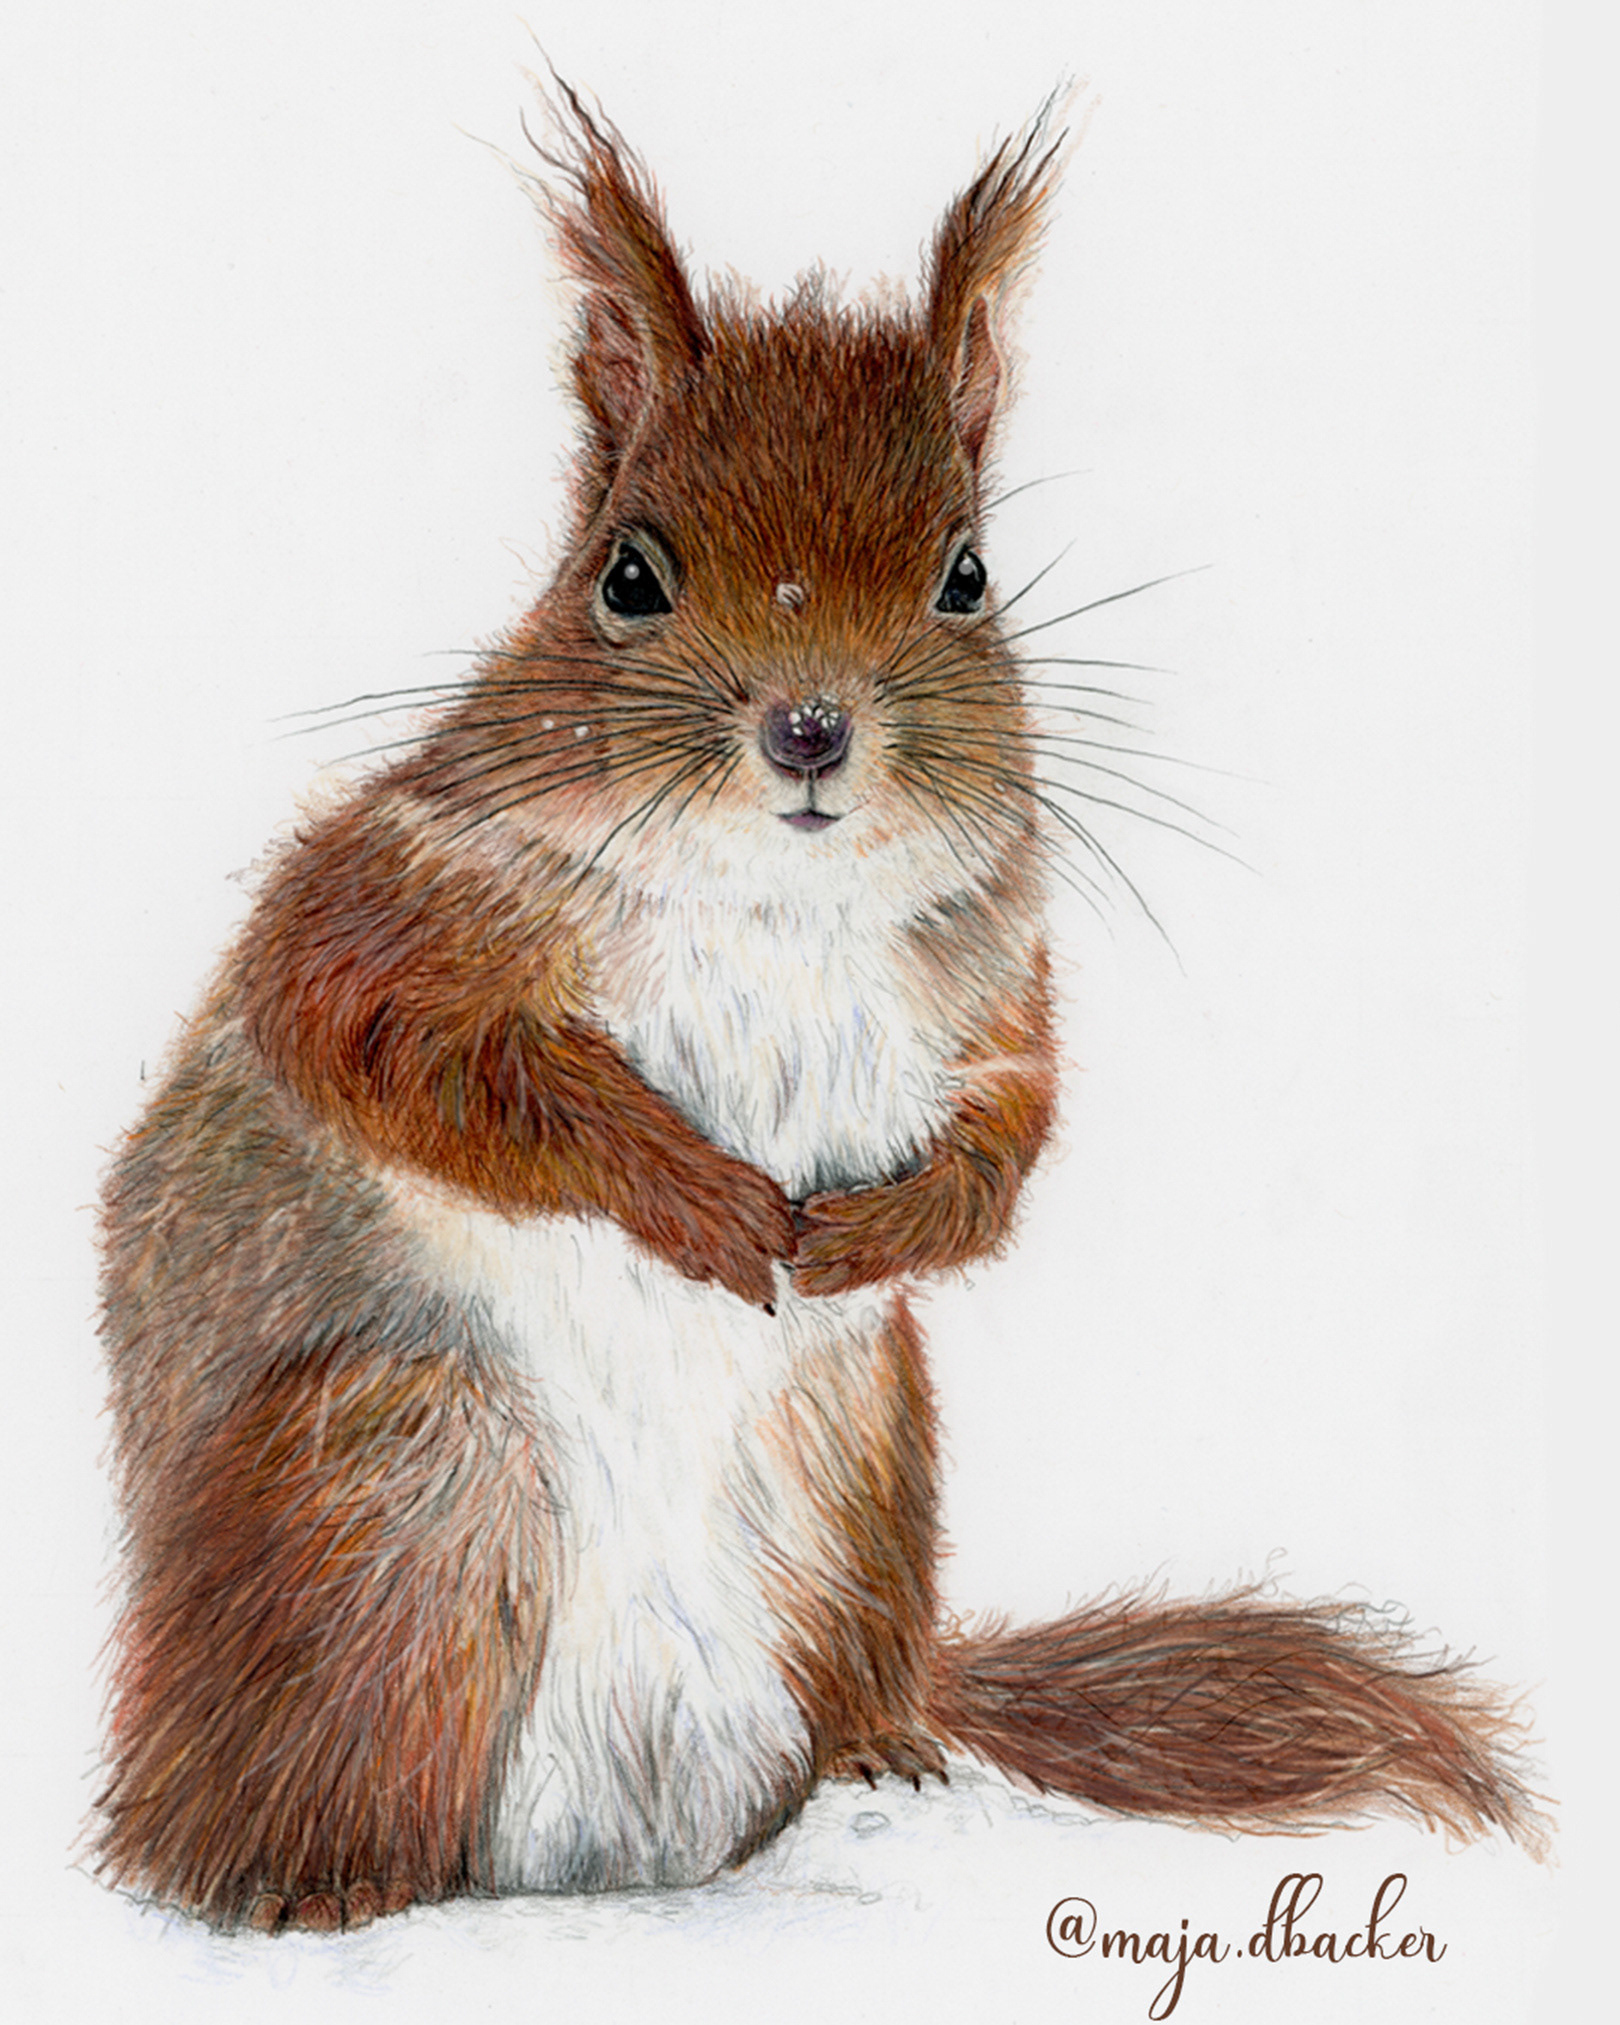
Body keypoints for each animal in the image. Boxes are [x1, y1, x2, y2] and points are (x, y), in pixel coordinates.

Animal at [95, 87, 1542, 1934]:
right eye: (626, 577)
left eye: (969, 576)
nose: (808, 727)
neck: (778, 906)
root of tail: (616, 1858)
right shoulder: (393, 906)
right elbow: (403, 1057)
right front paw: (702, 1200)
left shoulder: (990, 988)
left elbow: (1012, 1134)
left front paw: (873, 1232)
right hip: (388, 1487)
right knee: (262, 1801)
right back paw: (308, 1887)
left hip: (869, 1488)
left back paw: (876, 1762)